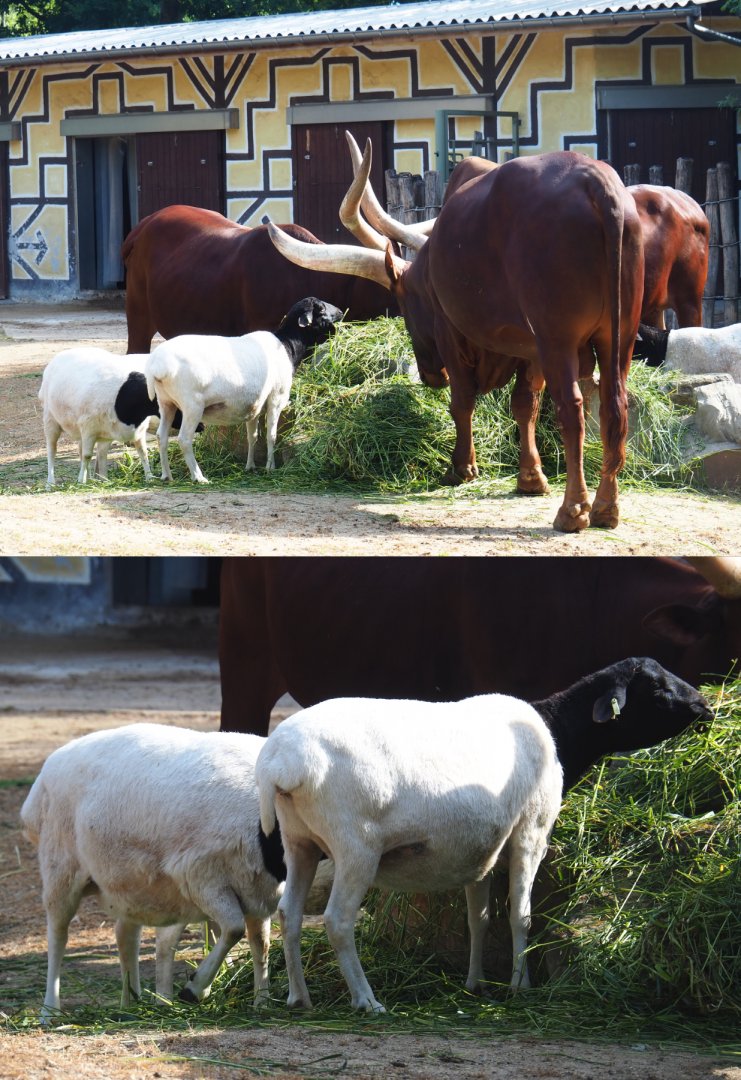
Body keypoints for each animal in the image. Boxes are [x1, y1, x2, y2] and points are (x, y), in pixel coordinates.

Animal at [20, 723, 285, 1024]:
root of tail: (50, 765)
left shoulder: (257, 892)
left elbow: (260, 944)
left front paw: (262, 1003)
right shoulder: (201, 878)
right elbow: (233, 929)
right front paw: (196, 988)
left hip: (128, 884)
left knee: (125, 933)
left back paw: (131, 1003)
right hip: (61, 869)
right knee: (58, 935)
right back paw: (49, 1011)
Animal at [38, 348, 159, 486]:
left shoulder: (137, 431)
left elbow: (143, 452)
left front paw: (150, 478)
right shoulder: (88, 428)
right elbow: (87, 455)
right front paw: (81, 481)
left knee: (86, 451)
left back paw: (92, 479)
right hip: (50, 420)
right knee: (52, 450)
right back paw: (50, 483)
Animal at [145, 295, 343, 484]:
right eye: (321, 309)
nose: (341, 312)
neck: (288, 347)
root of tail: (157, 366)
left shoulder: (255, 406)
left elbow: (252, 436)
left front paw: (251, 466)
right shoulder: (276, 399)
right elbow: (271, 435)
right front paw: (270, 467)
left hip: (166, 402)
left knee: (161, 436)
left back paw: (167, 475)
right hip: (192, 405)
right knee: (184, 439)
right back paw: (198, 477)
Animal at [256, 657, 711, 1013]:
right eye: (656, 686)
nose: (705, 704)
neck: (556, 732)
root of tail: (279, 763)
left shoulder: (481, 851)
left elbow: (480, 919)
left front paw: (477, 985)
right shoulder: (530, 834)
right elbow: (520, 916)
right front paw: (520, 986)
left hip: (299, 842)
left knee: (289, 914)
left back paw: (299, 997)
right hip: (355, 847)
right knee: (337, 920)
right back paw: (366, 1000)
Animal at [268, 139, 644, 532]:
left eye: (404, 305)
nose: (432, 375)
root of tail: (595, 180)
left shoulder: (453, 335)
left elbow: (462, 401)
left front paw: (460, 468)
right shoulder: (530, 350)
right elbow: (524, 404)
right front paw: (530, 478)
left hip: (559, 340)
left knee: (571, 409)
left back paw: (573, 510)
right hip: (619, 338)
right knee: (614, 408)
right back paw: (606, 508)